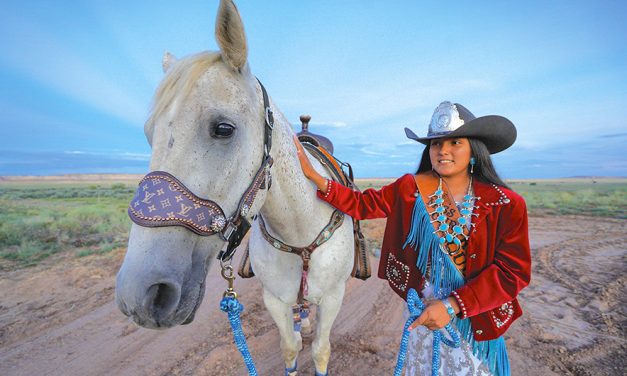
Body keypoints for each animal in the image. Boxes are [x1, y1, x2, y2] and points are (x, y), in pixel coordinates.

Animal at [115, 1, 356, 374]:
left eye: (223, 128)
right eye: (147, 133)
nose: (138, 294)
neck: (300, 232)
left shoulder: (334, 297)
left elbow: (321, 350)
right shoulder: (275, 299)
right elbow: (290, 347)